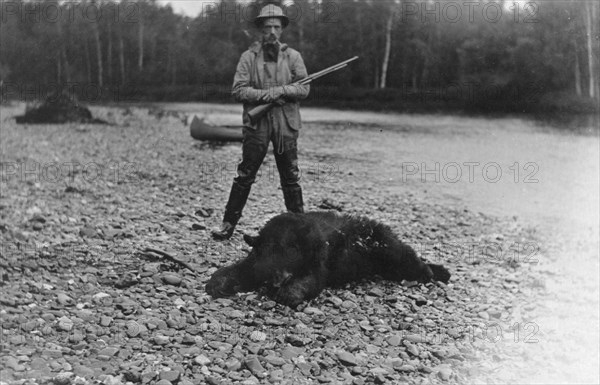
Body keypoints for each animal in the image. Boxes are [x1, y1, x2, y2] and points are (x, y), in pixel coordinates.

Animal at [206, 210, 450, 306]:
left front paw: (289, 293)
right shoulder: (257, 260)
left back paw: (435, 272)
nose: (279, 280)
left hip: (385, 245)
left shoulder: (320, 256)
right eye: (270, 259)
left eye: (292, 254)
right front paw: (217, 283)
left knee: (406, 257)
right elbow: (243, 269)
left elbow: (312, 279)